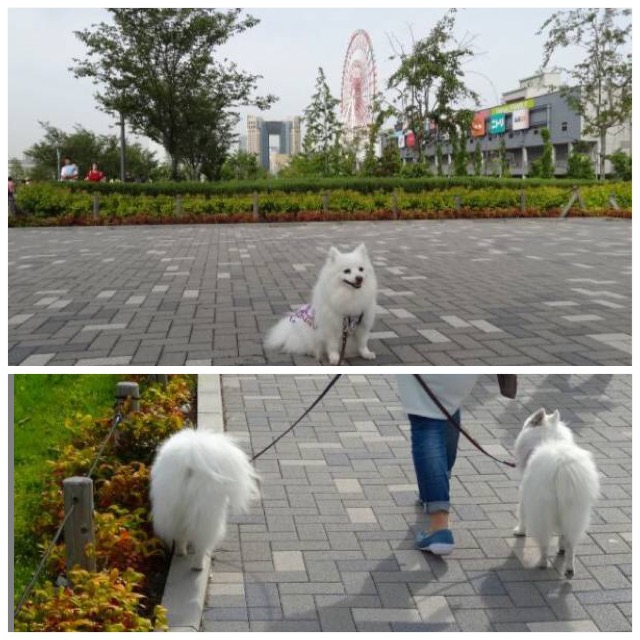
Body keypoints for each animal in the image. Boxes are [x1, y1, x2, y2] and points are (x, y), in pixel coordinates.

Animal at [151, 430, 260, 568]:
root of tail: (190, 467)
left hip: (172, 508)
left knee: (179, 534)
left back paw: (181, 552)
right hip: (205, 513)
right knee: (202, 542)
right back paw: (198, 565)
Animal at [512, 410, 596, 580]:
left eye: (527, 422)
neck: (547, 439)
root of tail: (562, 468)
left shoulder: (524, 496)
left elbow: (522, 516)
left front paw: (519, 531)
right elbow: (563, 537)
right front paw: (561, 547)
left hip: (542, 512)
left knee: (544, 542)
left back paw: (542, 563)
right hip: (574, 512)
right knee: (571, 544)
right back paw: (569, 569)